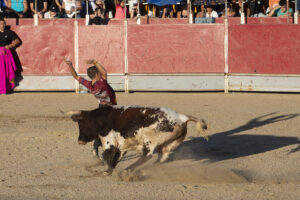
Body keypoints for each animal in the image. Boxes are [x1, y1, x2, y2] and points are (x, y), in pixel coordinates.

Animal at [67, 105, 209, 176]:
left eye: (82, 125)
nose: (80, 141)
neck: (101, 119)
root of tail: (181, 117)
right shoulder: (121, 146)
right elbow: (115, 158)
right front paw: (109, 170)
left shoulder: (109, 142)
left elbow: (107, 156)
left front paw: (106, 171)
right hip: (168, 145)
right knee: (162, 158)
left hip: (149, 142)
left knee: (147, 156)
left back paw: (128, 170)